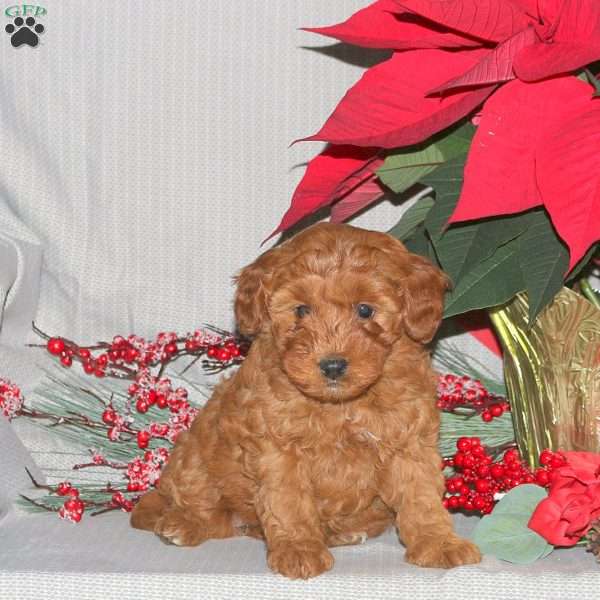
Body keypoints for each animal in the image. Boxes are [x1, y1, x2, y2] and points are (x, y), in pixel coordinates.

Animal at [130, 224, 478, 576]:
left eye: (365, 310)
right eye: (301, 310)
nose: (333, 365)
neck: (342, 406)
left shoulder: (409, 442)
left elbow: (420, 496)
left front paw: (438, 543)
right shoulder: (277, 448)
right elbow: (288, 501)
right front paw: (299, 549)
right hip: (197, 453)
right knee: (201, 502)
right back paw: (181, 523)